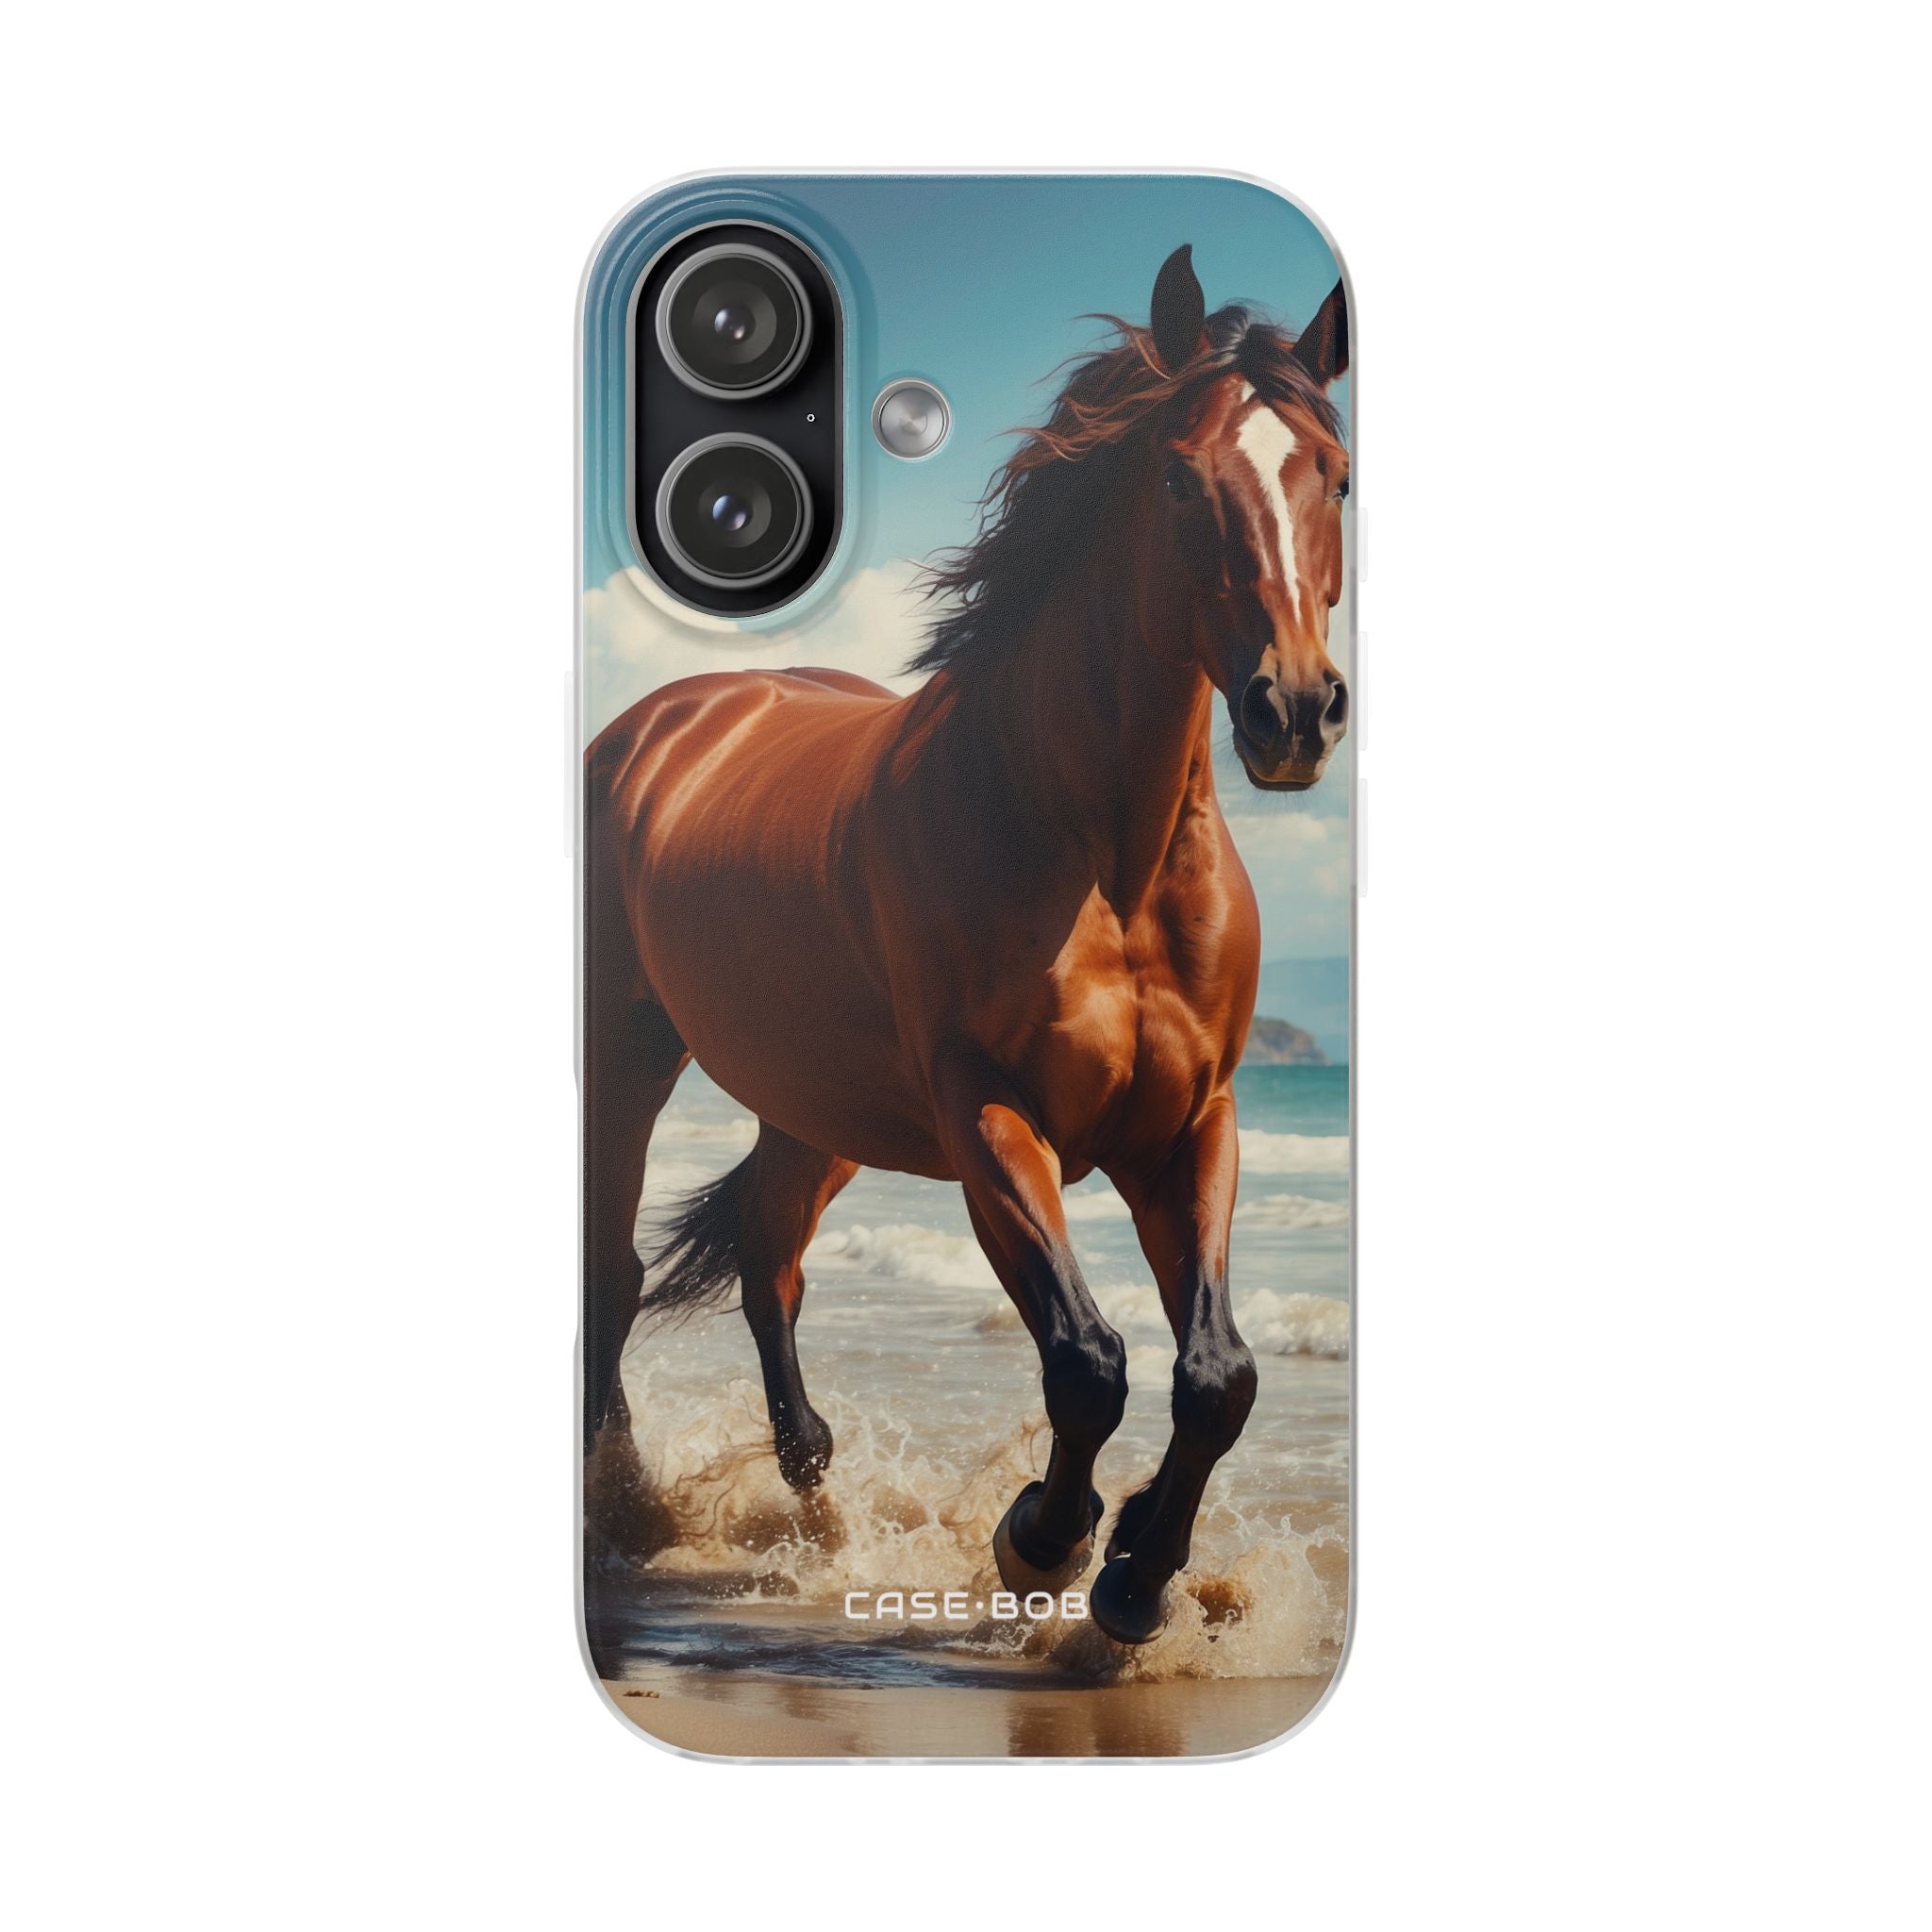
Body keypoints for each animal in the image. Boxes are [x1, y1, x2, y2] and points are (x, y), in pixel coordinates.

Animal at [582, 244, 1350, 1644]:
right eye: (1177, 475)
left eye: (1337, 475)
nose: (1296, 710)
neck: (1098, 852)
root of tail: (664, 717)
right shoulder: (988, 1115)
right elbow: (1087, 1361)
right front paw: (1044, 1535)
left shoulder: (1192, 1124)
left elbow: (1216, 1375)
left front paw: (1139, 1573)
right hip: (629, 1057)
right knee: (613, 1272)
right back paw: (631, 1511)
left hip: (812, 1108)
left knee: (768, 1264)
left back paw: (812, 1498)